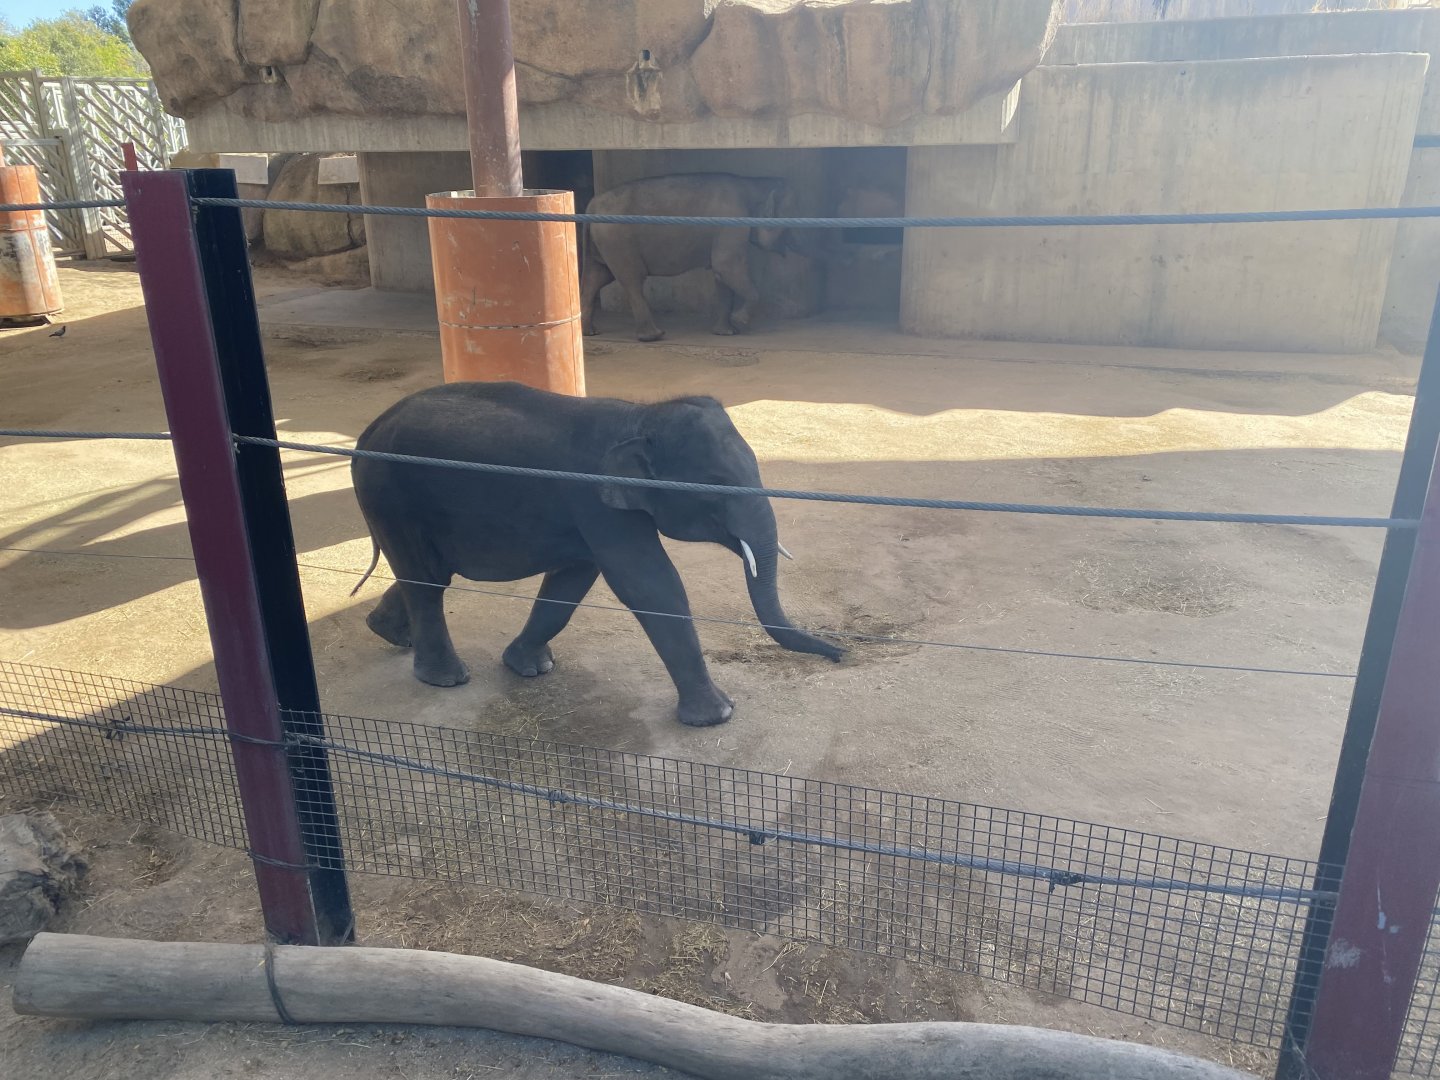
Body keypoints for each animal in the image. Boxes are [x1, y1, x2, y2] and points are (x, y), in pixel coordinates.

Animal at [350, 380, 844, 727]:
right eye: (715, 487)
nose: (841, 653)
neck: (639, 419)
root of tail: (368, 430)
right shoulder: (596, 501)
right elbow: (648, 583)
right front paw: (718, 715)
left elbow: (573, 578)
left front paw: (530, 667)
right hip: (389, 492)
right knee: (425, 578)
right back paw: (446, 678)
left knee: (429, 572)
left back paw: (389, 634)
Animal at [580, 172, 795, 343]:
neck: (754, 182)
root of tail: (592, 205)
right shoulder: (731, 222)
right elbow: (726, 266)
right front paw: (740, 321)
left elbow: (721, 275)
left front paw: (726, 333)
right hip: (617, 241)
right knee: (631, 280)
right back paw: (654, 336)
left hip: (603, 244)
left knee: (597, 277)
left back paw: (589, 332)